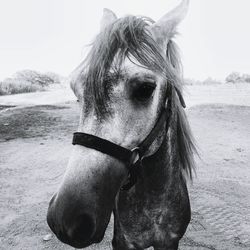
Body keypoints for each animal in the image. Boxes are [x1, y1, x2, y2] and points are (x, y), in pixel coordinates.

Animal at [46, 0, 195, 249]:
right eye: (76, 91)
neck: (153, 203)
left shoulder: (170, 241)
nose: (64, 220)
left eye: (145, 89)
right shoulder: (123, 241)